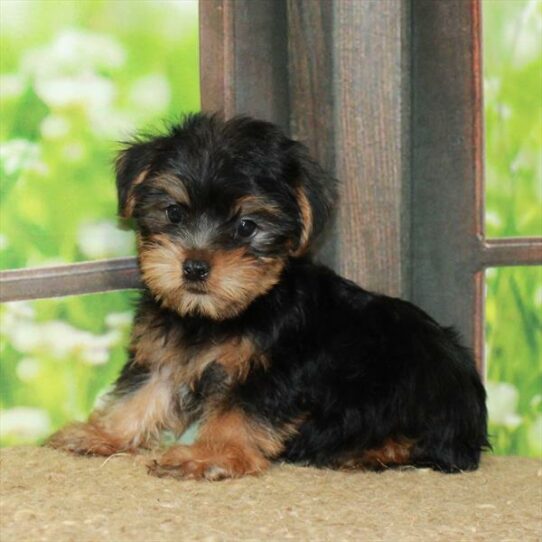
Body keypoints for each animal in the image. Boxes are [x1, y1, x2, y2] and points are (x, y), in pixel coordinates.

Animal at [46, 113, 490, 480]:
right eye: (174, 212)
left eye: (247, 226)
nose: (194, 266)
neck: (221, 314)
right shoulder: (166, 355)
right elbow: (141, 394)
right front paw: (103, 433)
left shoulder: (273, 372)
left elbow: (238, 414)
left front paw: (207, 455)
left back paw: (369, 451)